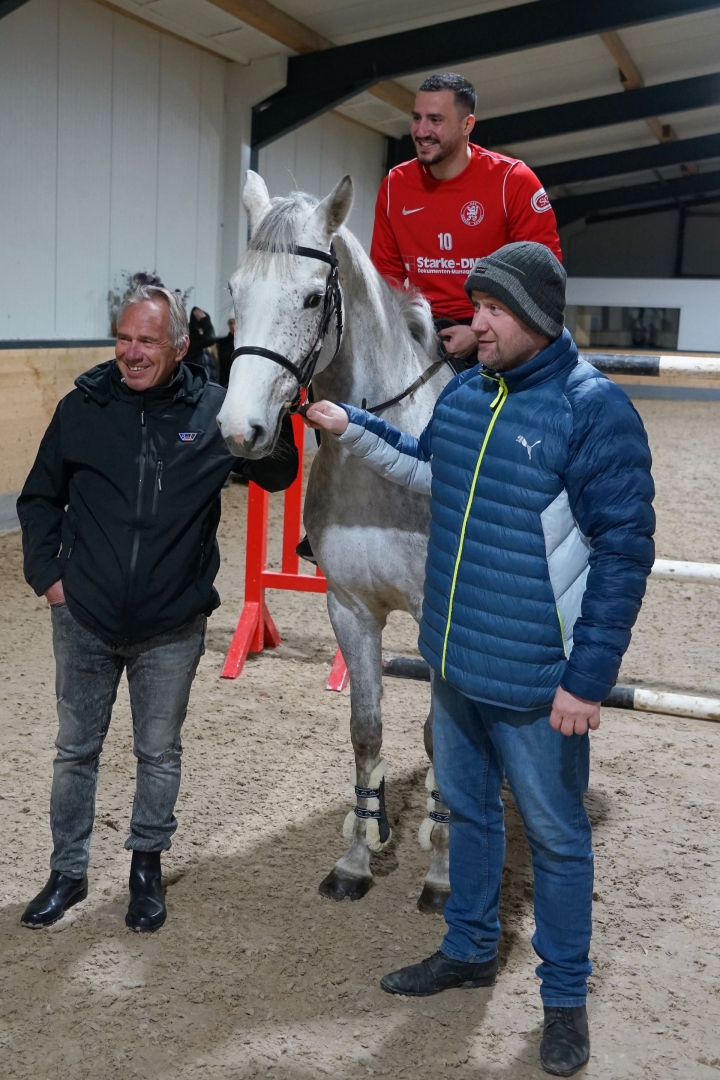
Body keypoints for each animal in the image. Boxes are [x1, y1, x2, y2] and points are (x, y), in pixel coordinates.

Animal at [217, 171, 454, 911]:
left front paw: (442, 871)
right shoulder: (349, 609)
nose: (239, 429)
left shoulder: (442, 623)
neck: (389, 460)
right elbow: (365, 729)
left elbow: (442, 737)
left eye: (314, 297)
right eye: (236, 290)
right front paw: (357, 857)